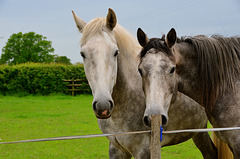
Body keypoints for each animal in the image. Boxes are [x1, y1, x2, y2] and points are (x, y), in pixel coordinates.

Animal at [72, 8, 218, 158]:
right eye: (83, 54)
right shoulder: (116, 149)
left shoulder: (144, 150)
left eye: (115, 52)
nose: (102, 106)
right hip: (198, 130)